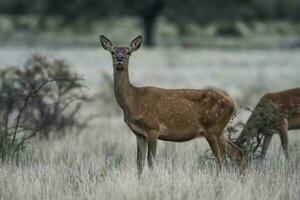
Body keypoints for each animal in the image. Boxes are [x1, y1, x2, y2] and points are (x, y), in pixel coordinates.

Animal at [99, 35, 245, 176]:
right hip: (220, 131)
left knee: (220, 158)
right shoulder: (139, 134)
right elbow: (139, 164)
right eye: (112, 51)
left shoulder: (153, 128)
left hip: (212, 128)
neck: (134, 100)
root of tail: (232, 102)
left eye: (128, 52)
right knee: (238, 153)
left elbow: (151, 162)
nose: (119, 58)